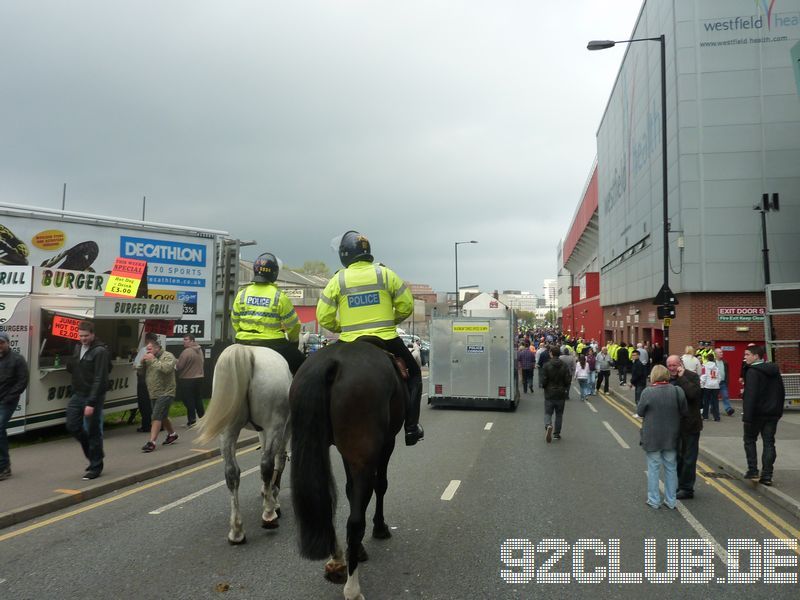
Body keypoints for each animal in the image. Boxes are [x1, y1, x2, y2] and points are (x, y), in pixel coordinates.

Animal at [196, 342, 290, 544]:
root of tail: (247, 351)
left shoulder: (263, 431)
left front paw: (269, 493)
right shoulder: (285, 428)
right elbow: (279, 461)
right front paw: (274, 499)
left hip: (228, 429)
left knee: (232, 473)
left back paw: (237, 531)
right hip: (274, 424)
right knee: (266, 464)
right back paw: (269, 515)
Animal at [290, 340, 406, 596]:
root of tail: (333, 361)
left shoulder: (347, 454)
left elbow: (350, 491)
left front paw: (359, 548)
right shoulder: (386, 444)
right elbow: (380, 486)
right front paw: (379, 528)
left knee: (326, 502)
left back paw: (337, 560)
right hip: (365, 453)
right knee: (354, 522)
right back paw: (352, 588)